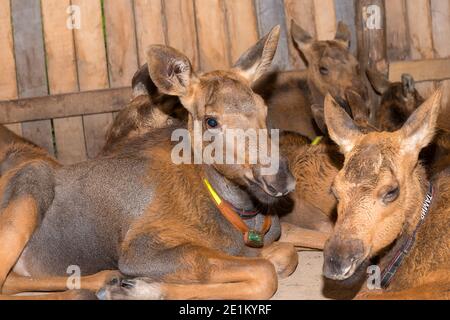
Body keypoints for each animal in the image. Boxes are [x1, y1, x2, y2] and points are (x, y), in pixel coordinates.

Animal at [1, 27, 302, 300]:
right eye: (211, 120)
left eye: (264, 108)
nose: (279, 178)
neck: (243, 216)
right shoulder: (140, 250)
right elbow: (262, 272)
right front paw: (141, 289)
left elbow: (285, 255)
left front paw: (139, 287)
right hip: (29, 189)